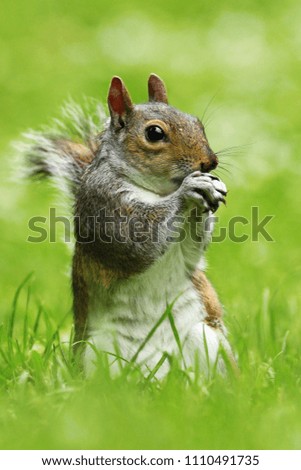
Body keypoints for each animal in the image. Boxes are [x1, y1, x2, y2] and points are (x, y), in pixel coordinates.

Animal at [24, 72, 234, 374]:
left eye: (198, 122)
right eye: (154, 133)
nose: (210, 163)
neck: (157, 191)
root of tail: (156, 376)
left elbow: (192, 250)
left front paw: (212, 188)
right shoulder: (103, 206)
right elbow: (137, 242)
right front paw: (190, 189)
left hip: (205, 339)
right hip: (96, 352)